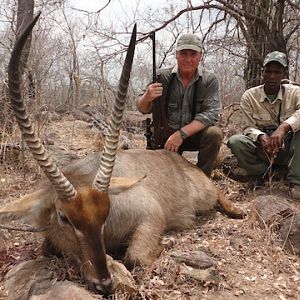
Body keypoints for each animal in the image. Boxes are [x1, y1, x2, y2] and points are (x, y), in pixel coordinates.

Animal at [0, 13, 246, 296]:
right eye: (64, 217)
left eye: (106, 213)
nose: (104, 283)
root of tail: (179, 160)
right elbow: (47, 248)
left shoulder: (151, 215)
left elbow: (136, 256)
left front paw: (168, 242)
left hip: (206, 192)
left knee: (217, 192)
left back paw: (237, 211)